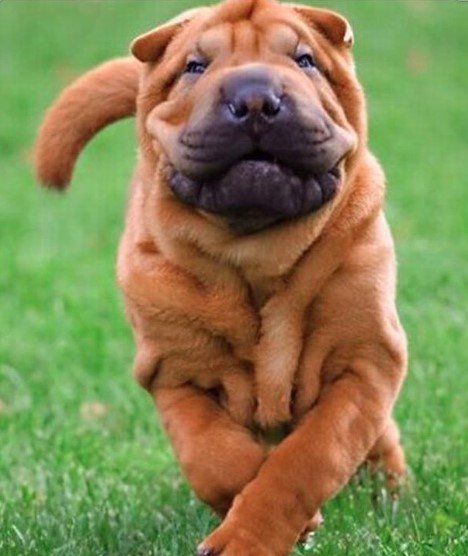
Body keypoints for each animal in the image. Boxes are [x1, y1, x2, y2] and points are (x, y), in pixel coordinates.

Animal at [34, 1, 408, 552]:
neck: (255, 251)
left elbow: (309, 457)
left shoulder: (363, 362)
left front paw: (249, 537)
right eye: (194, 67)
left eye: (305, 60)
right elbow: (213, 456)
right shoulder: (173, 371)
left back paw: (391, 489)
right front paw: (248, 513)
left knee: (379, 438)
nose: (254, 97)